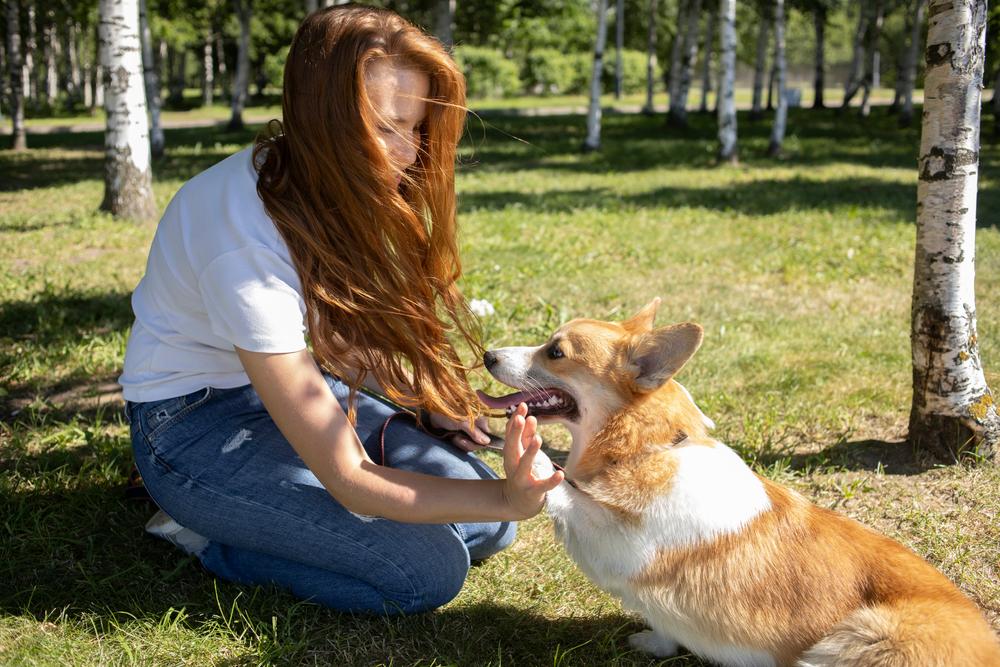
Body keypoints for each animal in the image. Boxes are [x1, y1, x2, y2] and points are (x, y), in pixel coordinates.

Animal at [478, 302, 1000, 667]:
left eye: (556, 352)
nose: (486, 354)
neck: (649, 448)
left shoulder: (627, 545)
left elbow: (563, 487)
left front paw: (525, 456)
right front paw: (655, 642)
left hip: (853, 638)